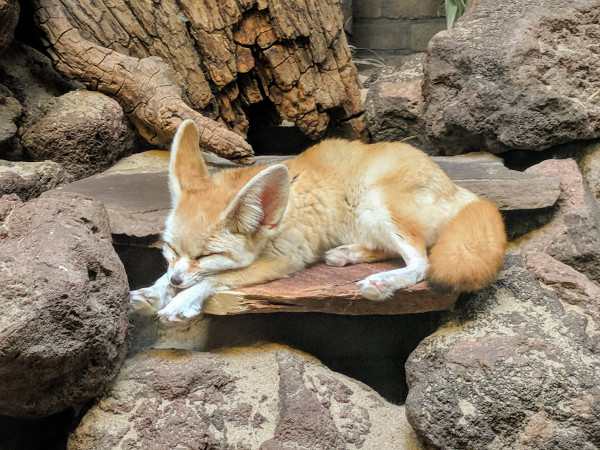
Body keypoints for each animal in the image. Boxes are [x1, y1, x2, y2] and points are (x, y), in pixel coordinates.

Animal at [131, 119, 506, 322]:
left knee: (421, 262)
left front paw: (182, 300)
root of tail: (460, 190)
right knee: (395, 250)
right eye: (170, 249)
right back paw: (348, 254)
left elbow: (215, 279)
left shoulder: (284, 260)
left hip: (376, 202)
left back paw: (383, 282)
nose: (177, 281)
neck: (280, 216)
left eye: (207, 255)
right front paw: (157, 289)